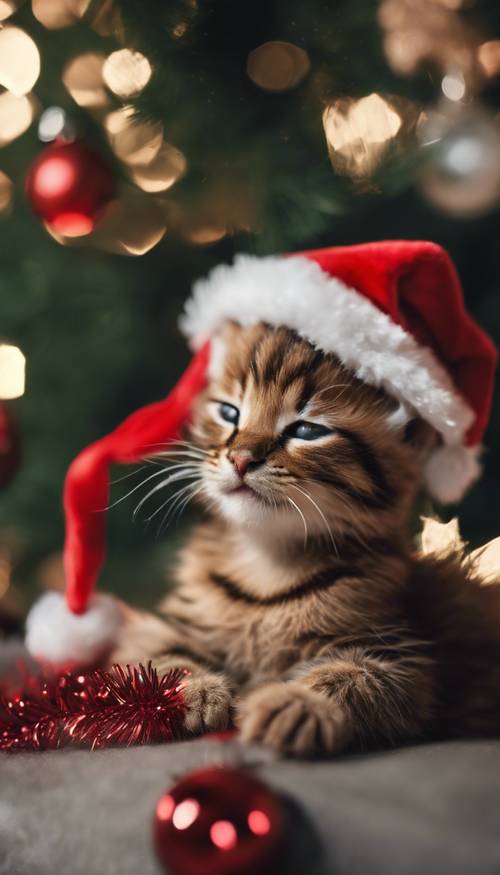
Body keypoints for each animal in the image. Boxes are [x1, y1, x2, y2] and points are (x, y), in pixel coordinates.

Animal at [113, 324, 500, 760]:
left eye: (307, 431)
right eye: (229, 413)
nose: (241, 458)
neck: (266, 564)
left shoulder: (403, 658)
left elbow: (357, 677)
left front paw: (299, 703)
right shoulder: (157, 629)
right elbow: (157, 657)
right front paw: (192, 689)